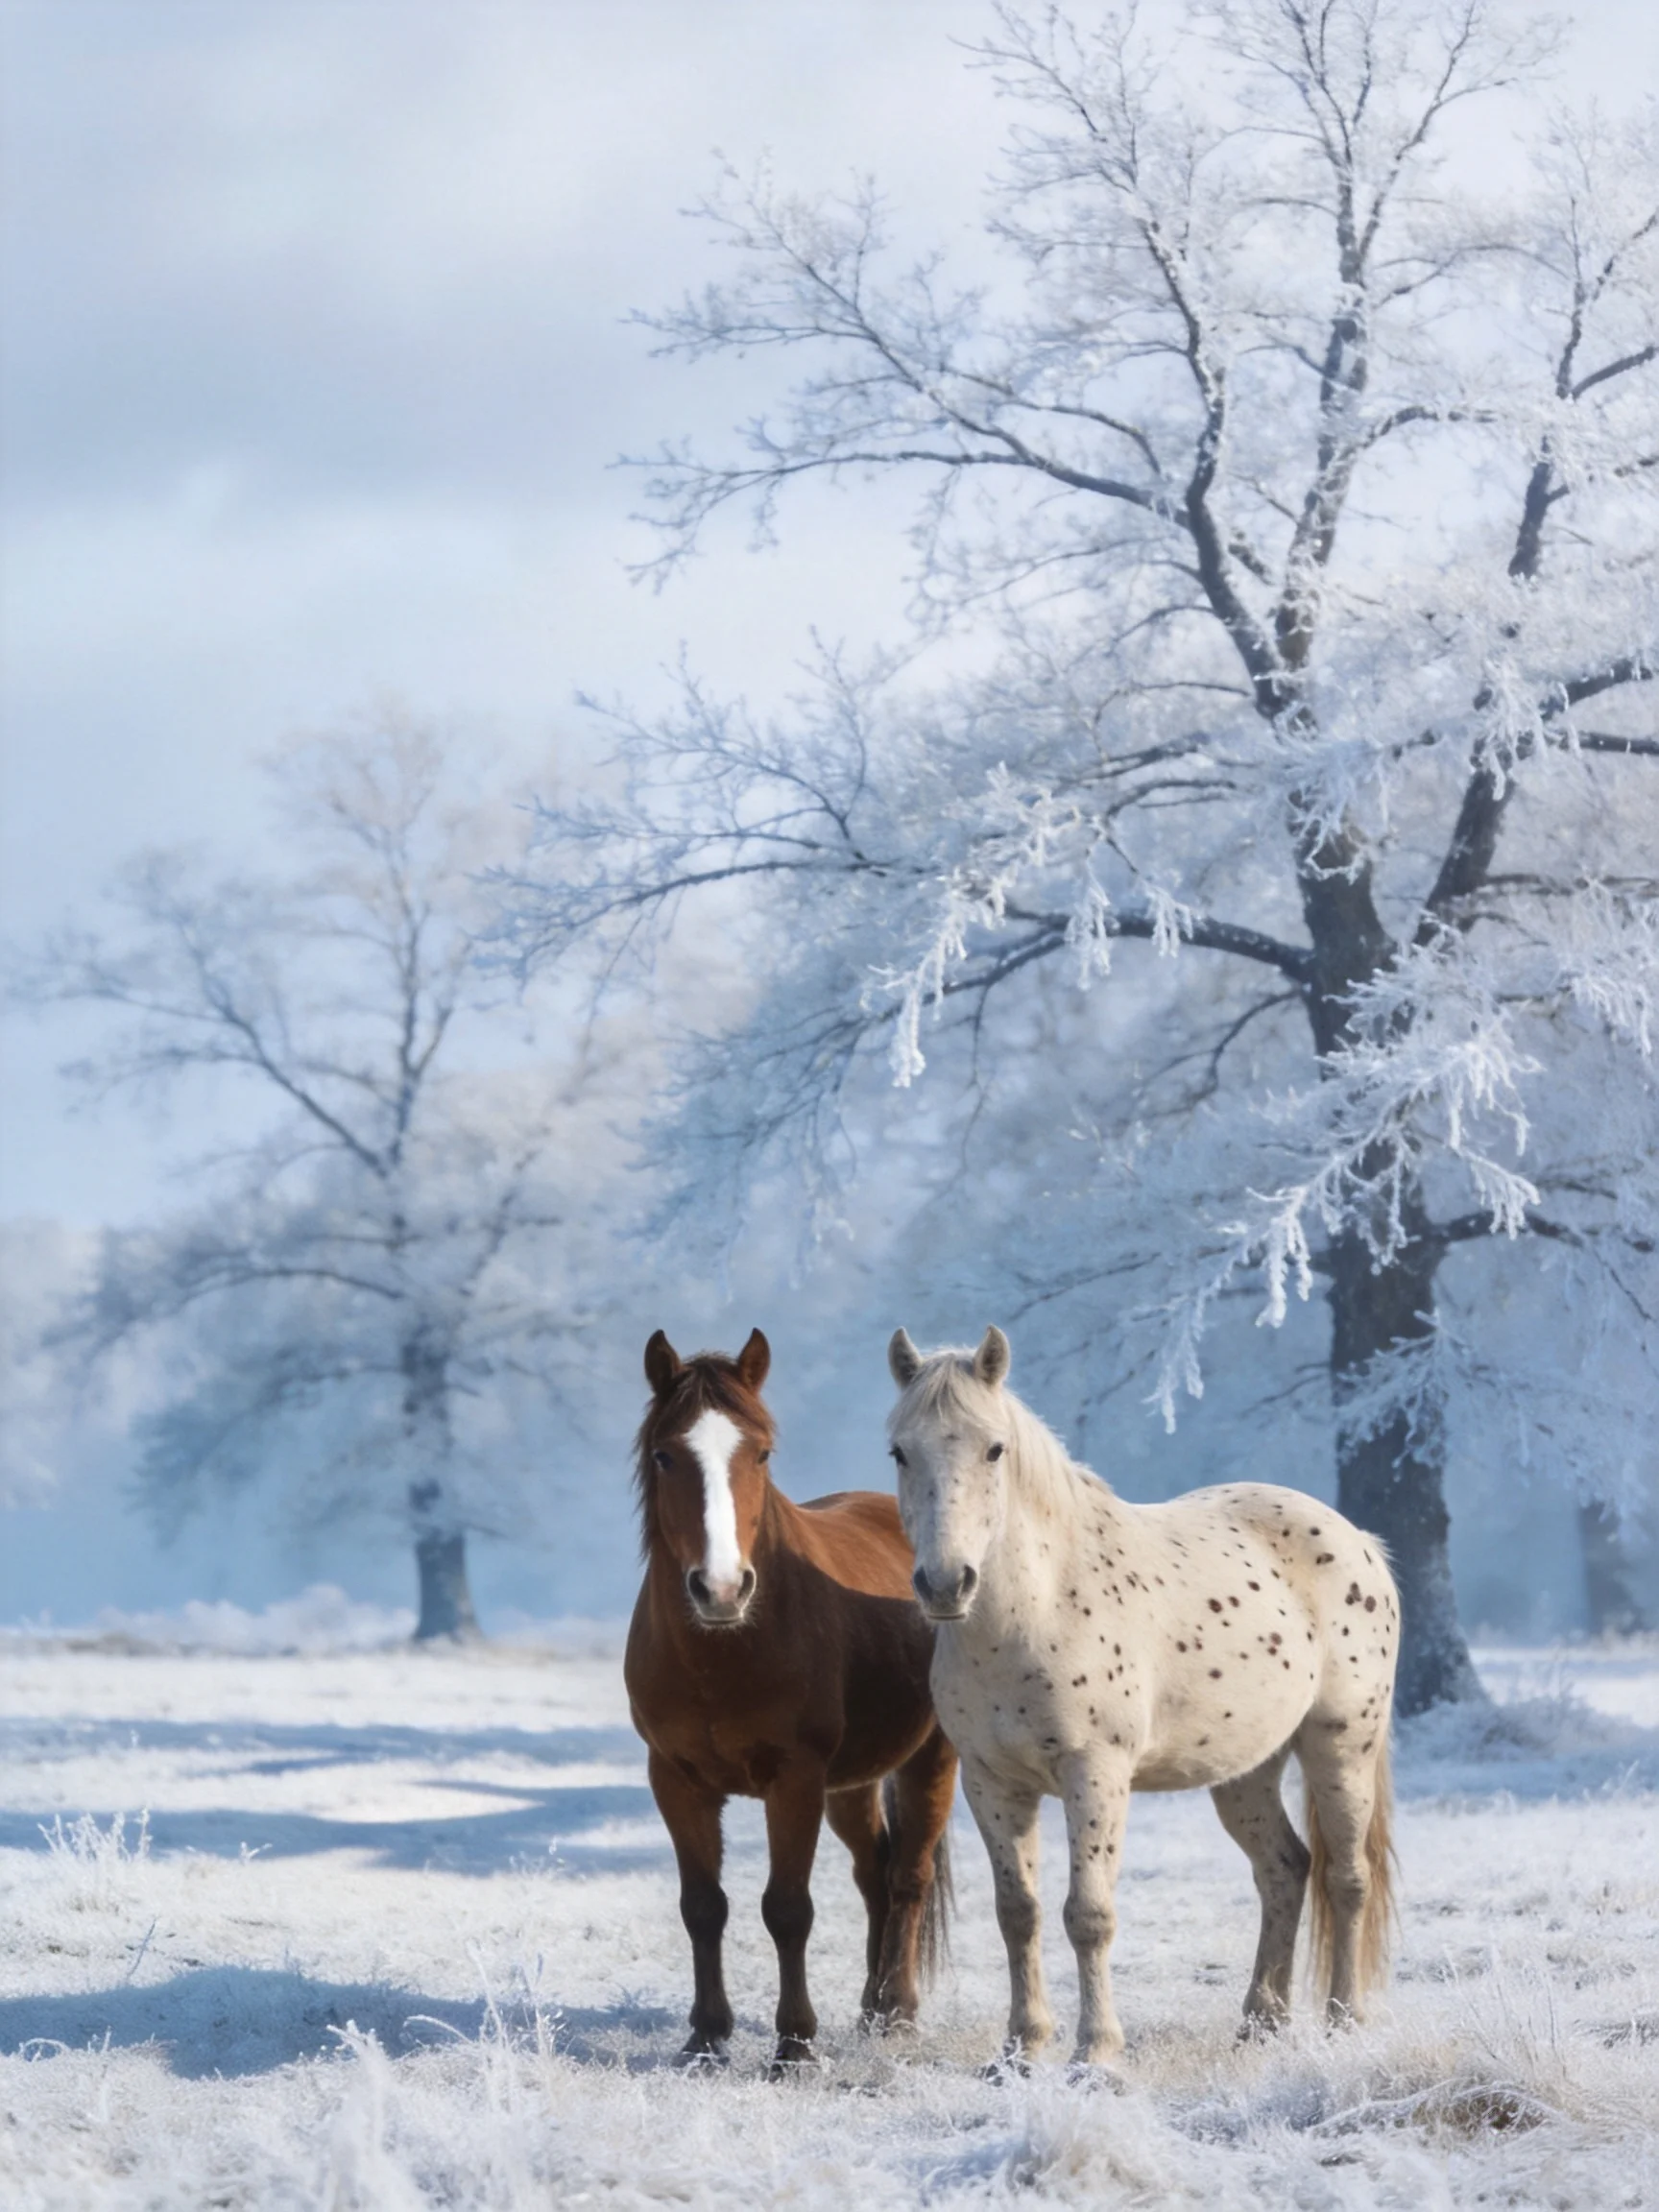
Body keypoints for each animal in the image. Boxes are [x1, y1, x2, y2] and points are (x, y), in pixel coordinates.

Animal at [626, 1327, 958, 2075]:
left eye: (762, 1452)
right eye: (665, 1454)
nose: (721, 1588)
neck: (724, 1653)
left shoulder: (795, 1780)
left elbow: (787, 1909)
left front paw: (795, 2046)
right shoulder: (674, 1780)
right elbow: (703, 1906)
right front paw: (706, 2038)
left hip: (929, 1760)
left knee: (909, 1876)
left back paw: (898, 2014)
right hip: (853, 1784)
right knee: (875, 1871)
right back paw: (869, 2010)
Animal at [886, 1325, 1398, 2072]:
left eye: (994, 1448)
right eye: (900, 1450)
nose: (946, 1583)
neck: (1032, 1612)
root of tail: (1359, 1541)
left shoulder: (1095, 1774)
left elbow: (1088, 1916)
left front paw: (1096, 2054)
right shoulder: (991, 1784)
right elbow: (1019, 1914)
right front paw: (1019, 2050)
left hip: (1342, 1747)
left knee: (1348, 1879)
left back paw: (1344, 2023)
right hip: (1245, 1773)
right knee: (1284, 1869)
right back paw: (1261, 2023)